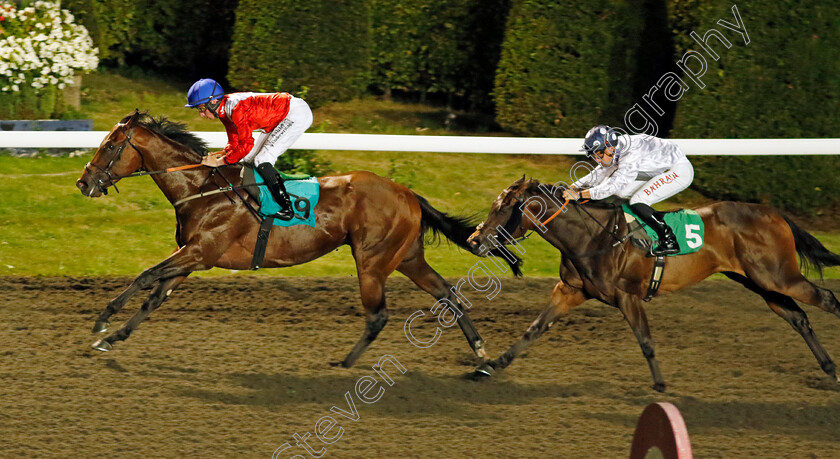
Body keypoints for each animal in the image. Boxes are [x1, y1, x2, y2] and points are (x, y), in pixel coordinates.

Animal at [75, 109, 520, 368]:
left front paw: (101, 321)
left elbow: (146, 276)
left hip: (372, 261)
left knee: (379, 315)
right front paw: (110, 339)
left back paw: (343, 364)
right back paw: (481, 352)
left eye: (110, 145)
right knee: (448, 294)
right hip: (407, 257)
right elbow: (153, 297)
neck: (203, 188)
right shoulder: (192, 256)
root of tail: (409, 194)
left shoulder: (200, 252)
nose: (84, 183)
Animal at [466, 176, 840, 392]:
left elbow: (645, 341)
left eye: (505, 208)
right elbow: (534, 329)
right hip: (762, 283)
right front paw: (489, 366)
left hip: (778, 276)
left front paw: (660, 385)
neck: (594, 238)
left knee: (828, 298)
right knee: (799, 318)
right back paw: (830, 369)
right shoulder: (571, 291)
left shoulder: (627, 295)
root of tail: (775, 214)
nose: (474, 241)